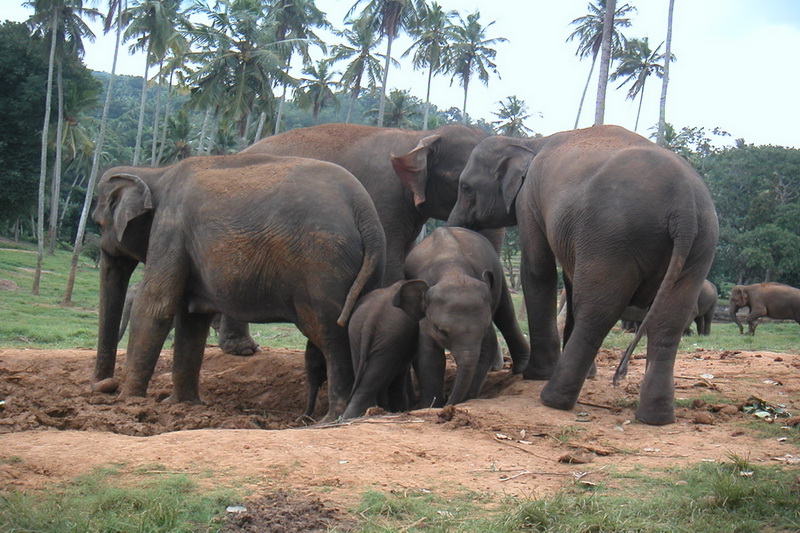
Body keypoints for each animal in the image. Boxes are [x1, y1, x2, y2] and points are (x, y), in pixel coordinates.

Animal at [90, 151, 384, 420]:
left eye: (98, 223)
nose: (104, 386)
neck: (155, 172)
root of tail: (365, 211)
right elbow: (192, 319)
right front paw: (181, 405)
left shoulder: (170, 228)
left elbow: (155, 306)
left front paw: (128, 402)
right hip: (365, 267)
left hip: (323, 262)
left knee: (331, 333)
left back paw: (331, 418)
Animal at [404, 225, 528, 408]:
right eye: (442, 331)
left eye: (484, 329)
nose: (448, 400)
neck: (453, 270)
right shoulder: (425, 320)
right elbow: (429, 355)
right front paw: (431, 405)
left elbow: (486, 349)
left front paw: (467, 399)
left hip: (498, 277)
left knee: (506, 315)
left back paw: (521, 368)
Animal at [450, 124, 720, 424]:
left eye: (465, 187)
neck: (529, 142)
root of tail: (683, 208)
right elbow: (568, 278)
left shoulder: (529, 200)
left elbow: (538, 269)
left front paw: (535, 375)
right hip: (699, 247)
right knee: (668, 321)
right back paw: (655, 417)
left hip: (613, 238)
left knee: (597, 311)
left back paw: (552, 399)